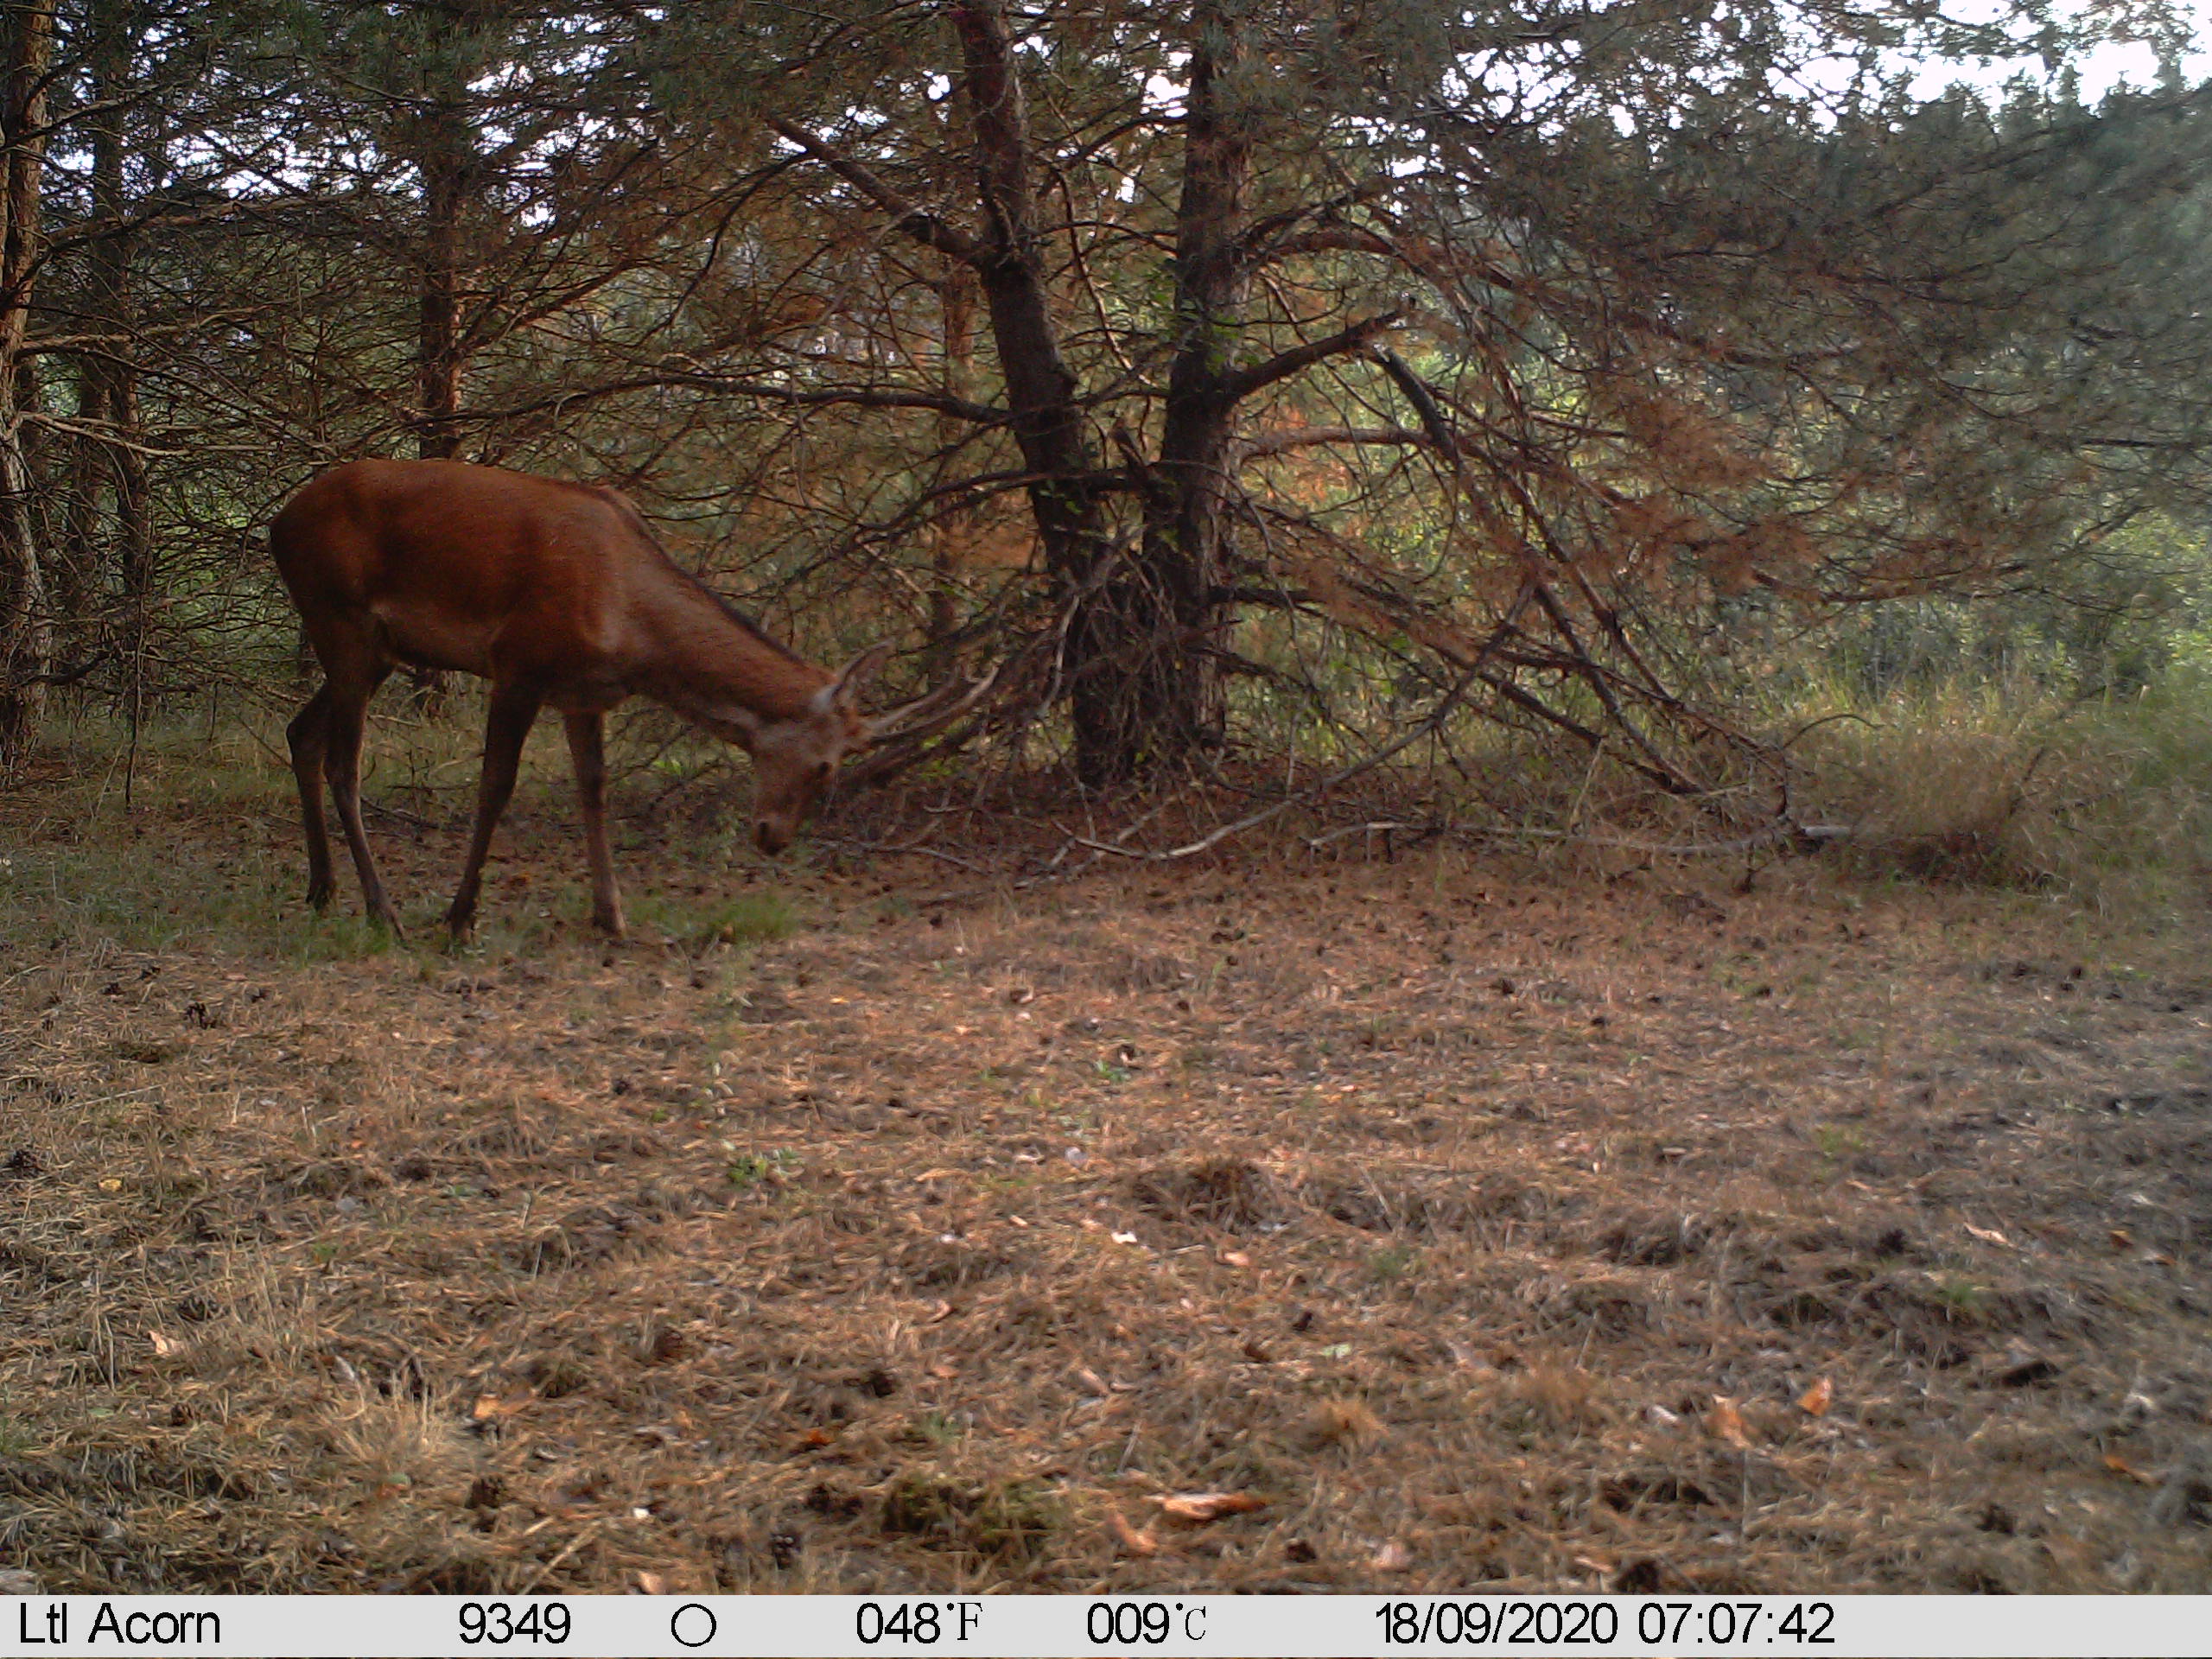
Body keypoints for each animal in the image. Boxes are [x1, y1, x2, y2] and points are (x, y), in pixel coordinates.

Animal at [270, 458, 992, 941]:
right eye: (825, 765)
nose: (773, 838)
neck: (632, 628)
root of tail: (277, 524)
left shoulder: (582, 692)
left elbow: (593, 788)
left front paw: (612, 915)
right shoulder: (518, 663)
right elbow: (495, 787)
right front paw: (460, 916)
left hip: (375, 650)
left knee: (300, 733)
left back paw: (321, 888)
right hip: (342, 620)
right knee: (343, 763)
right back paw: (381, 908)